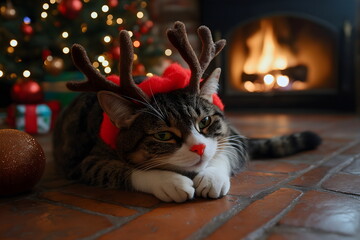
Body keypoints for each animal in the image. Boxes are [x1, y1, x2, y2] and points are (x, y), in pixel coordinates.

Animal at [53, 22, 320, 202]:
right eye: (163, 135)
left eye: (205, 121)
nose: (199, 147)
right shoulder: (88, 160)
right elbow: (125, 170)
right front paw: (170, 182)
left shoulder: (234, 136)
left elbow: (224, 152)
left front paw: (211, 177)